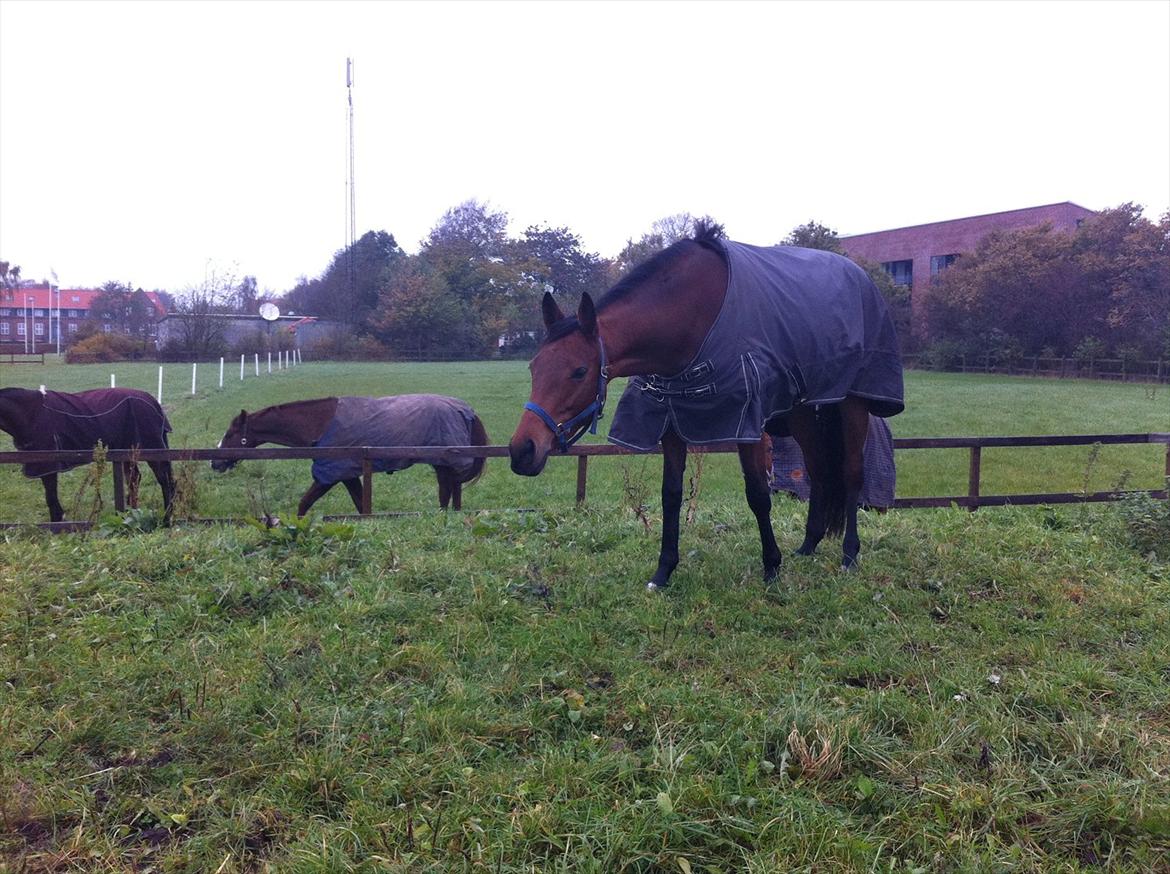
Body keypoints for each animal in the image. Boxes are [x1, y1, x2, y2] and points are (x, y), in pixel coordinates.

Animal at [0, 386, 175, 524]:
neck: (30, 413)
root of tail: (152, 401)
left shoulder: (48, 465)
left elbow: (50, 496)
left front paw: (56, 523)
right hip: (128, 451)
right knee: (134, 480)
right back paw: (132, 513)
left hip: (152, 450)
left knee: (164, 480)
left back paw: (167, 517)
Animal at [212, 395, 491, 517]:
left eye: (230, 434)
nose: (215, 462)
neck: (320, 423)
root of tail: (466, 410)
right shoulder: (348, 475)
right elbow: (360, 504)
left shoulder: (332, 473)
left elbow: (304, 504)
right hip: (442, 463)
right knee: (450, 490)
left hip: (444, 461)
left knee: (447, 490)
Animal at [507, 222, 898, 592]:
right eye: (534, 367)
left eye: (579, 371)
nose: (522, 451)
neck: (690, 317)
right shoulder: (671, 423)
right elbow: (670, 495)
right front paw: (663, 571)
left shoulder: (746, 424)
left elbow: (758, 494)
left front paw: (772, 566)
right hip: (801, 412)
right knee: (818, 470)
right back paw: (808, 545)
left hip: (853, 404)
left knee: (851, 472)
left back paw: (849, 555)